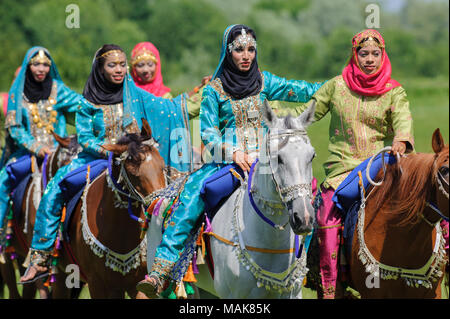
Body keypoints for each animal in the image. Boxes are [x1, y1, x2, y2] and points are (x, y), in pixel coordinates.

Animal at [52, 120, 165, 300]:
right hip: (62, 275)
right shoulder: (99, 285)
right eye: (133, 173)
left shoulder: (138, 283)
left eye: (161, 165)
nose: (161, 205)